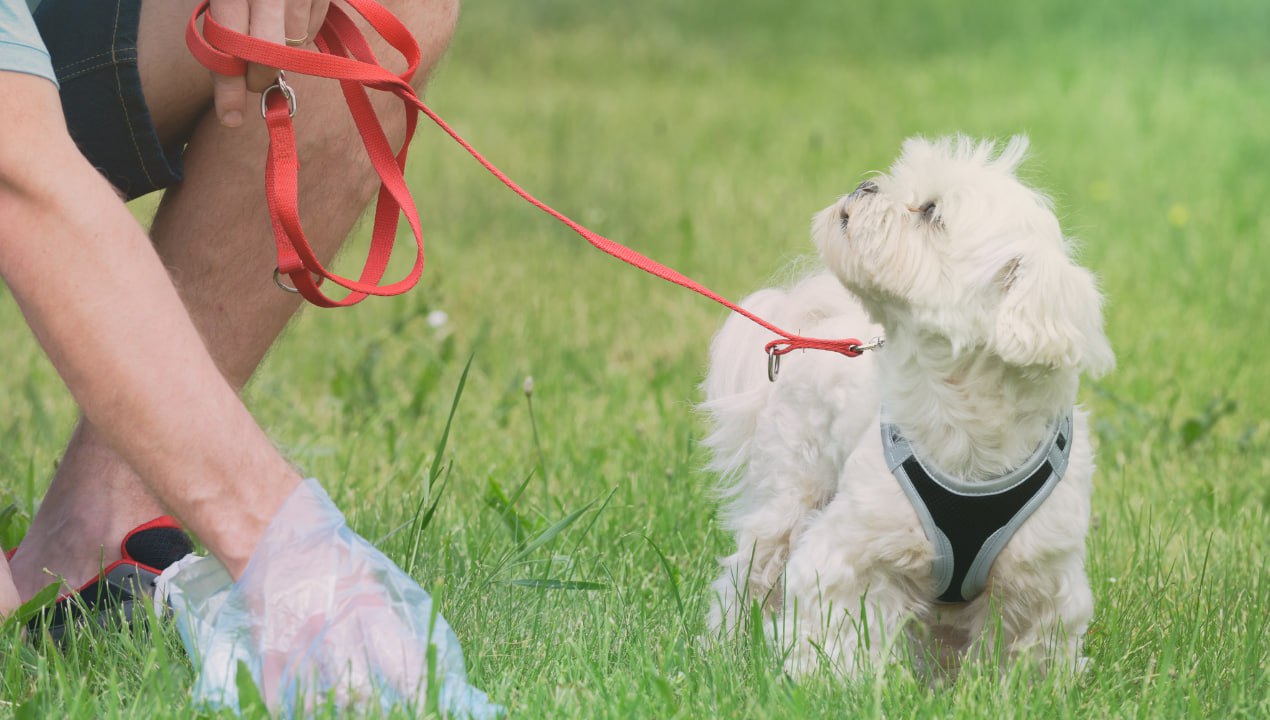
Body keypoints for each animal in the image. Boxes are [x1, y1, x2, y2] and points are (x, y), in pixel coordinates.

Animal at [706, 136, 1112, 680]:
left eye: (932, 212)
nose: (865, 185)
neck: (965, 427)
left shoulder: (1035, 582)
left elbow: (1021, 655)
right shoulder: (853, 551)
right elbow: (838, 630)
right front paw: (833, 683)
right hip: (790, 495)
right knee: (749, 573)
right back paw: (722, 648)